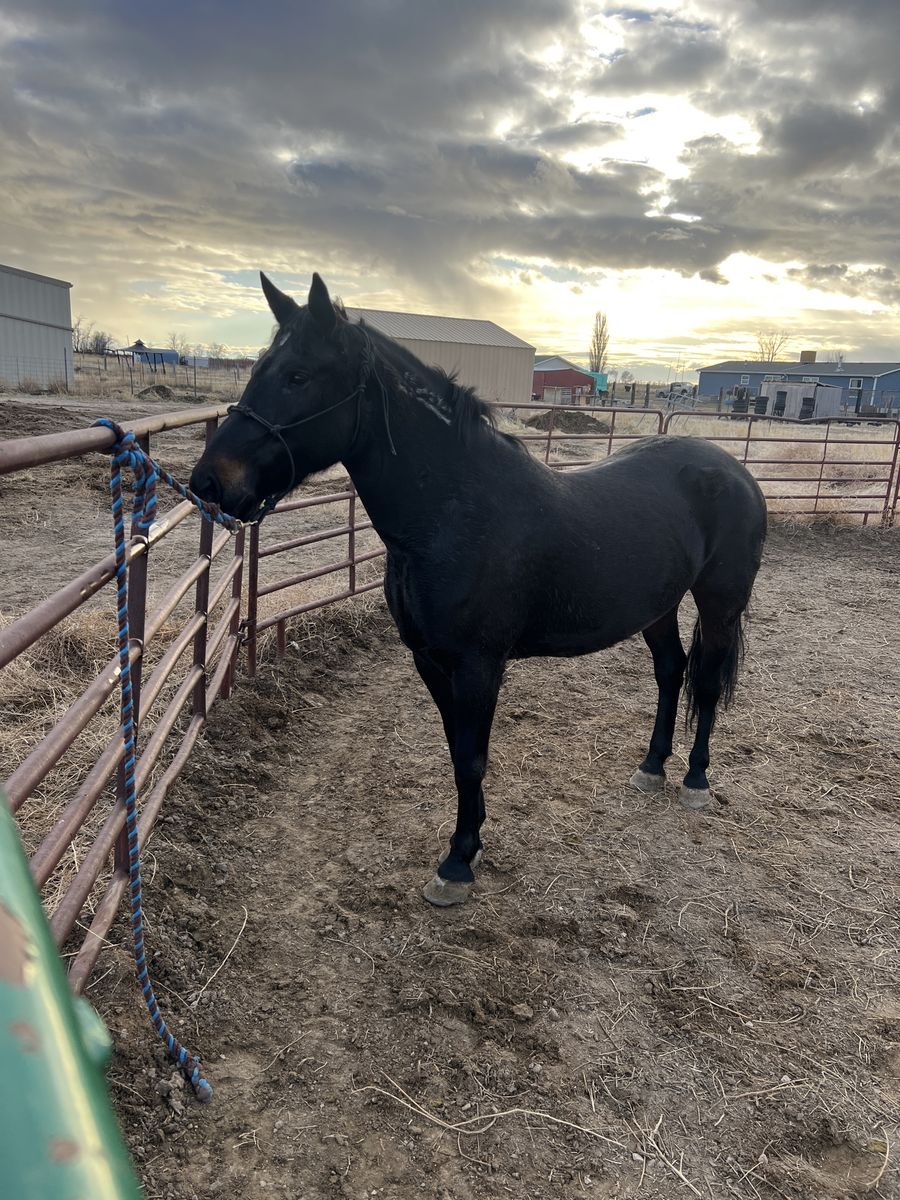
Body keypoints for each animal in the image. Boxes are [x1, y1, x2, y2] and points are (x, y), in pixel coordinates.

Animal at [190, 273, 767, 906]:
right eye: (259, 369)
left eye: (298, 375)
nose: (208, 482)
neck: (452, 513)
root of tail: (731, 469)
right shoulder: (429, 660)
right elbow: (457, 752)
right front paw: (471, 841)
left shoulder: (478, 664)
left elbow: (471, 757)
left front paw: (457, 864)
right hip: (656, 607)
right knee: (670, 671)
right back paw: (652, 767)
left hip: (720, 603)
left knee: (704, 681)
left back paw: (694, 778)